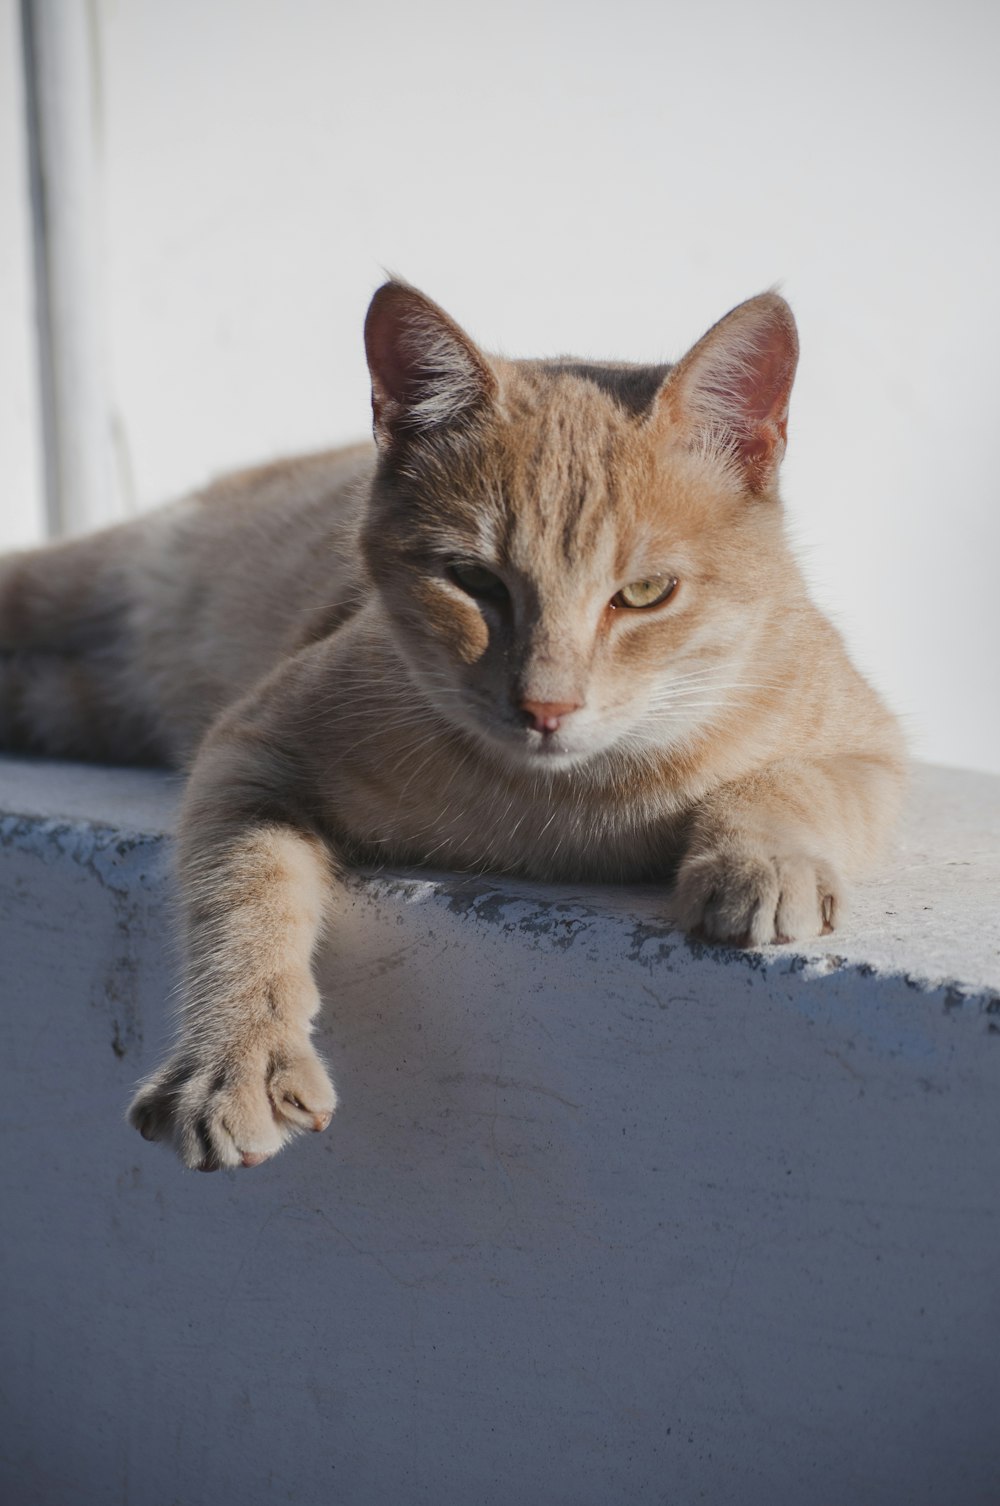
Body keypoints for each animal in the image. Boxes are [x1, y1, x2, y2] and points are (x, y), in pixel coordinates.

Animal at [0, 283, 903, 1174]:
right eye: (474, 581)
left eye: (645, 593)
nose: (546, 706)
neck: (566, 807)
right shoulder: (252, 748)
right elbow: (245, 895)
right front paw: (237, 1059)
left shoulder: (874, 751)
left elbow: (793, 779)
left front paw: (762, 862)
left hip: (83, 703)